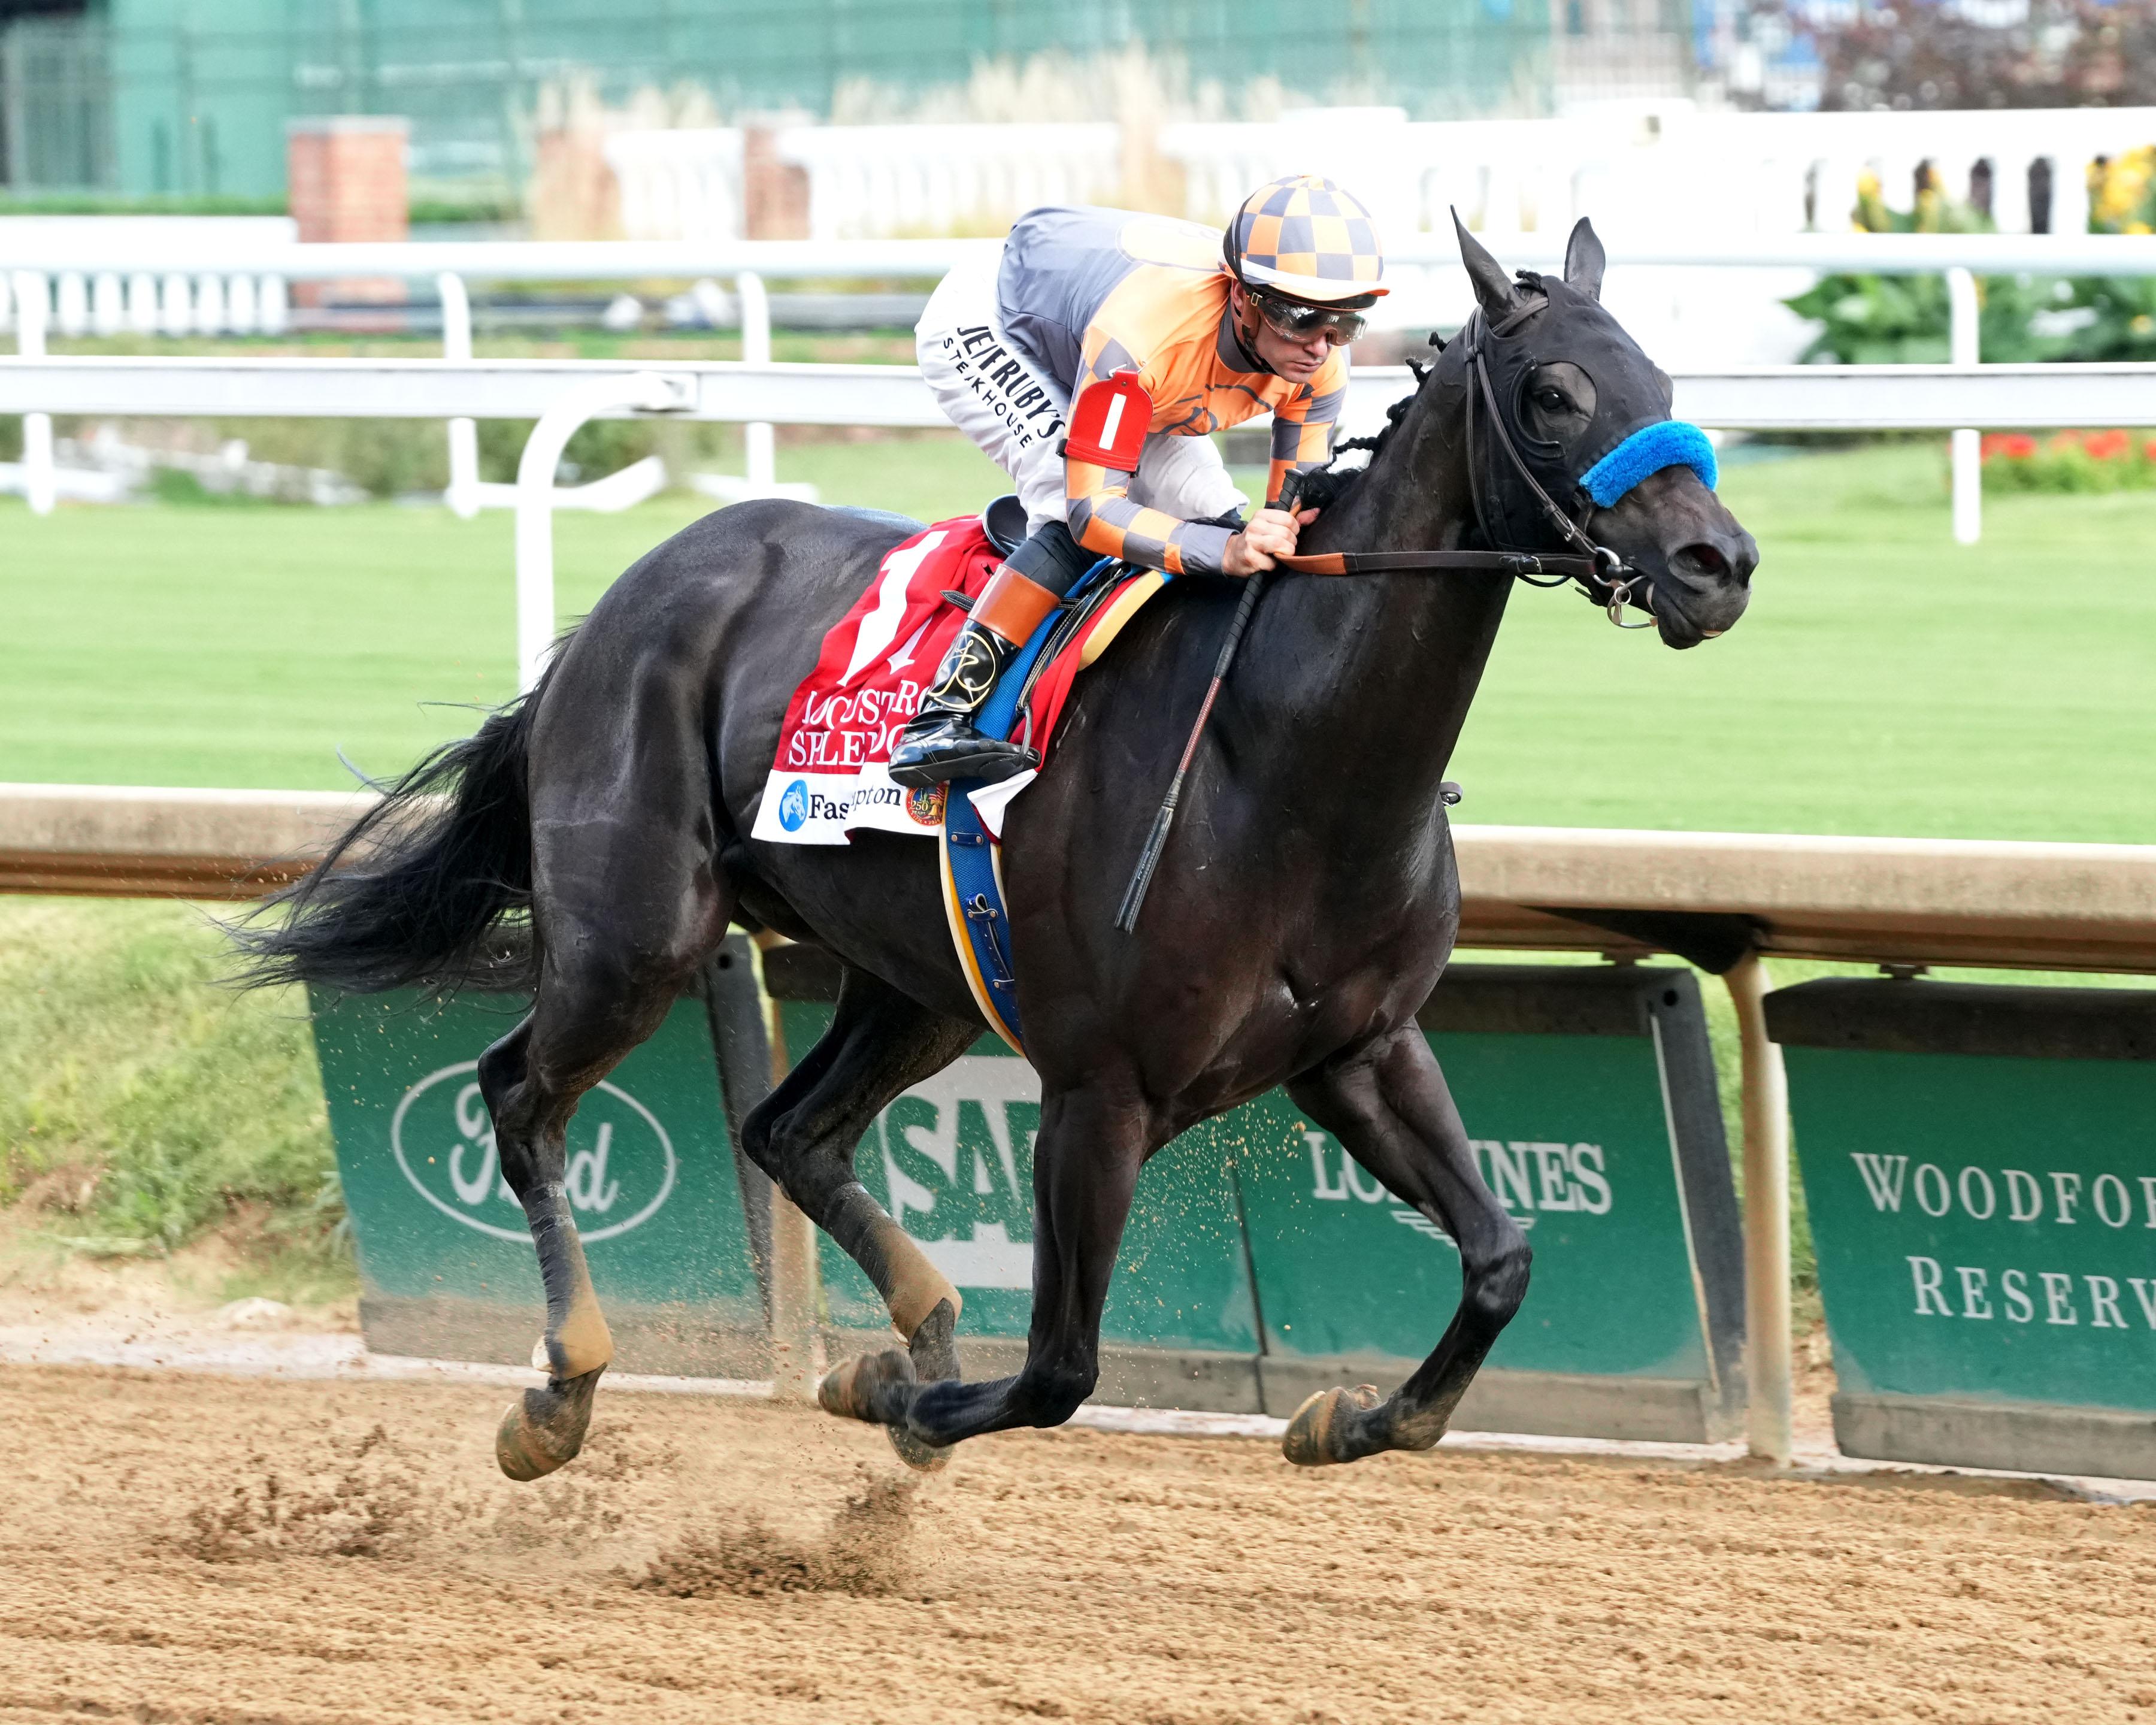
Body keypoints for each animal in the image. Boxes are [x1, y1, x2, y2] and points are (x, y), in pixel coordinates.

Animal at [236, 218, 1757, 1480]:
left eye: (1663, 378)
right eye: (1556, 394)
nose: (1720, 565)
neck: (1283, 759)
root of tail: (618, 610)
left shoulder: (1358, 1051)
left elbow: (1502, 1260)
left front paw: (1350, 1418)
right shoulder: (1099, 1090)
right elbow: (1060, 1371)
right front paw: (897, 1405)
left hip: (917, 983)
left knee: (785, 1131)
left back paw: (915, 1317)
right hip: (632, 939)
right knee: (520, 1094)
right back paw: (562, 1395)